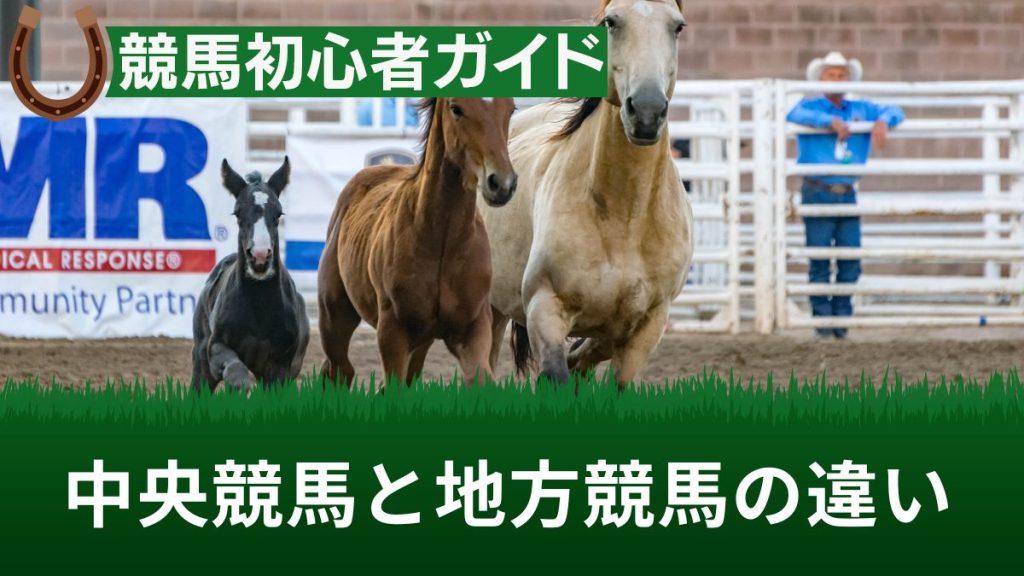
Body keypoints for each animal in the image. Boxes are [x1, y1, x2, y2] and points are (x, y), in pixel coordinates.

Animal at [191, 157, 310, 392]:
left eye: (278, 213)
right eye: (238, 213)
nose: (260, 256)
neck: (259, 305)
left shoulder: (279, 365)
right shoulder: (215, 348)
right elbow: (235, 371)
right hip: (201, 361)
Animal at [319, 98, 517, 388]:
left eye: (511, 108)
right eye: (456, 109)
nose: (502, 183)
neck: (443, 243)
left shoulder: (473, 328)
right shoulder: (393, 333)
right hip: (334, 315)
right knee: (340, 369)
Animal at [480, 0, 693, 388]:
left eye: (678, 27)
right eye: (611, 22)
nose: (647, 111)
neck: (625, 218)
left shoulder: (644, 329)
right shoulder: (545, 308)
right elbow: (557, 373)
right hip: (489, 306)